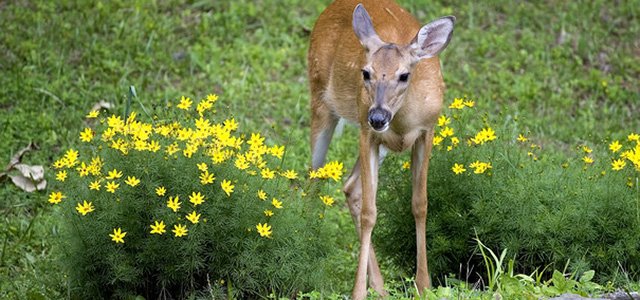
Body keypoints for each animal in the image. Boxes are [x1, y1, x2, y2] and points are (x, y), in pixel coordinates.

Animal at [306, 0, 452, 298]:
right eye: (366, 72)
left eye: (404, 75)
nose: (378, 116)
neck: (404, 120)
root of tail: (330, 8)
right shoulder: (367, 133)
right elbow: (369, 213)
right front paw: (357, 292)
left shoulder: (427, 130)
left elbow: (420, 203)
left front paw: (423, 284)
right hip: (320, 99)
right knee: (314, 180)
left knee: (350, 187)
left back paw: (381, 288)